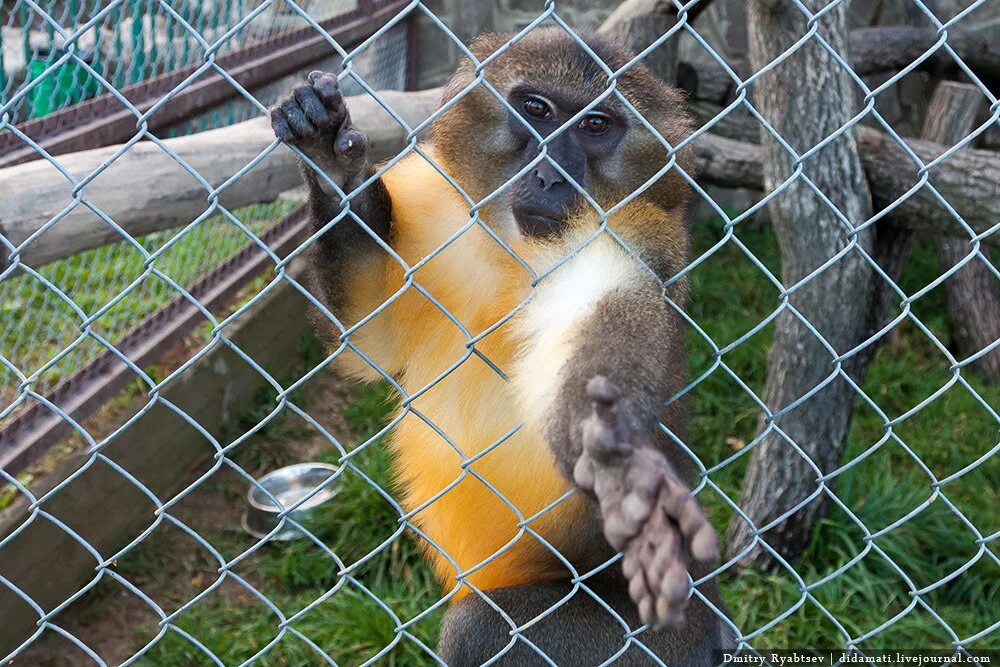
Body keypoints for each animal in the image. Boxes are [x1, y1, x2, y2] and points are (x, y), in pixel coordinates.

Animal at [272, 28, 736, 664]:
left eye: (595, 125)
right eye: (536, 109)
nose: (551, 175)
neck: (513, 247)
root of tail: (708, 628)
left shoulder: (636, 240)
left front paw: (613, 458)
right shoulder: (430, 194)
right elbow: (367, 336)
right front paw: (328, 164)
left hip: (647, 645)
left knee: (478, 627)